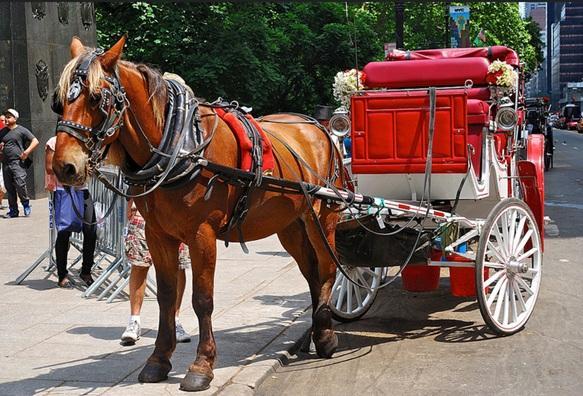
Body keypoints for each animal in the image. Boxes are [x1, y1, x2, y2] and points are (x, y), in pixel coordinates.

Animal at [53, 35, 344, 392]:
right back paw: (316, 333)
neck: (179, 146)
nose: (65, 167)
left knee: (327, 270)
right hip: (290, 225)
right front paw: (158, 360)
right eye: (58, 102)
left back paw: (326, 336)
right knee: (312, 273)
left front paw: (202, 366)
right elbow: (167, 296)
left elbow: (202, 299)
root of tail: (319, 127)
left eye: (96, 98)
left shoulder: (201, 234)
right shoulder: (158, 235)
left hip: (323, 220)